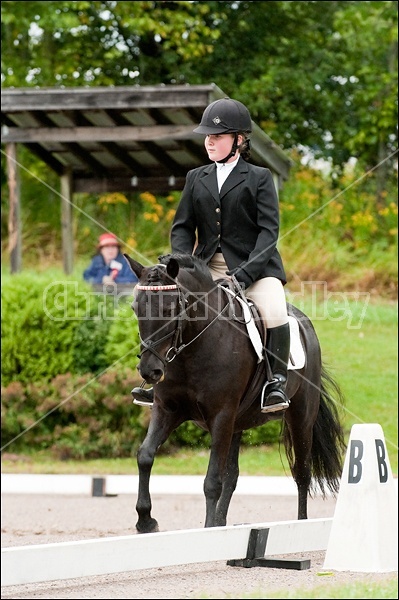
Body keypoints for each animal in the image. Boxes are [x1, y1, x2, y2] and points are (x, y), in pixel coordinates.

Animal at [125, 251, 346, 532]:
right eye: (136, 308)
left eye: (170, 309)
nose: (149, 371)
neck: (192, 349)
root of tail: (305, 324)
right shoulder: (167, 410)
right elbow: (145, 455)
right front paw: (145, 520)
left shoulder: (221, 415)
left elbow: (212, 480)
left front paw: (208, 527)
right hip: (237, 422)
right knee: (233, 475)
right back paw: (222, 522)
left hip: (300, 417)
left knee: (302, 473)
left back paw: (300, 523)